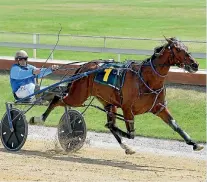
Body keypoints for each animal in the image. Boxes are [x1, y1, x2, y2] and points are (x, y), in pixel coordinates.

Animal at [32, 37, 204, 154]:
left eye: (187, 47)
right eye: (179, 50)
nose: (195, 64)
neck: (146, 78)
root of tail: (84, 66)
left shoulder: (159, 108)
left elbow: (176, 125)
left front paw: (195, 143)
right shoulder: (128, 109)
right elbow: (130, 133)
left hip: (108, 102)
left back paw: (126, 147)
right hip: (78, 96)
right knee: (58, 99)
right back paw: (39, 118)